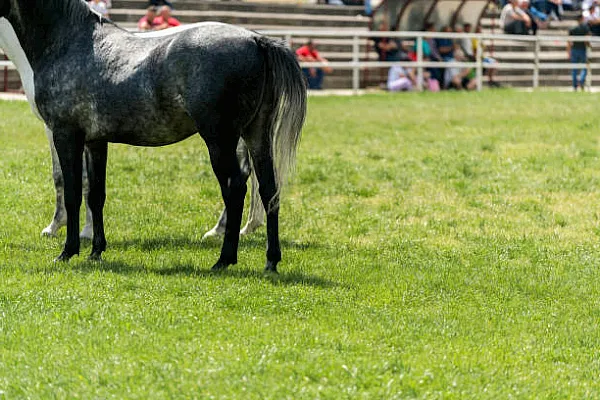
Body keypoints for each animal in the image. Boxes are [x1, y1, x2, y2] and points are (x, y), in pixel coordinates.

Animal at [0, 0, 308, 274]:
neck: (71, 42)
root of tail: (256, 40)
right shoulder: (95, 141)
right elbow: (96, 194)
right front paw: (96, 251)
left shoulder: (65, 135)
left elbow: (73, 191)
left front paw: (68, 251)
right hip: (256, 136)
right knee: (268, 189)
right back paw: (271, 261)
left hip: (220, 140)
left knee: (235, 188)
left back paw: (224, 259)